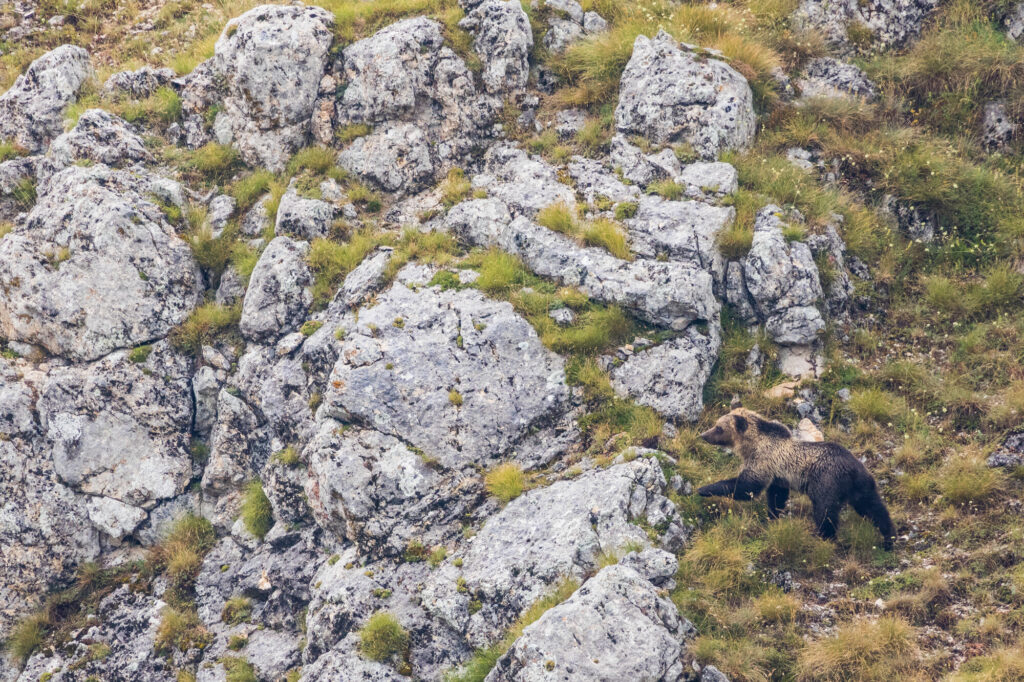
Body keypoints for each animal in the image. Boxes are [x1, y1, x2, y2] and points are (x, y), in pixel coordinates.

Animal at [696, 405, 897, 548]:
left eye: (718, 427)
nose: (703, 435)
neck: (752, 445)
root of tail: (852, 467)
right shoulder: (778, 475)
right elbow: (776, 496)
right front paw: (772, 516)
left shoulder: (762, 460)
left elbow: (747, 487)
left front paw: (703, 489)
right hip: (862, 484)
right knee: (874, 508)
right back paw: (889, 537)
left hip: (826, 481)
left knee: (825, 512)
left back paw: (823, 537)